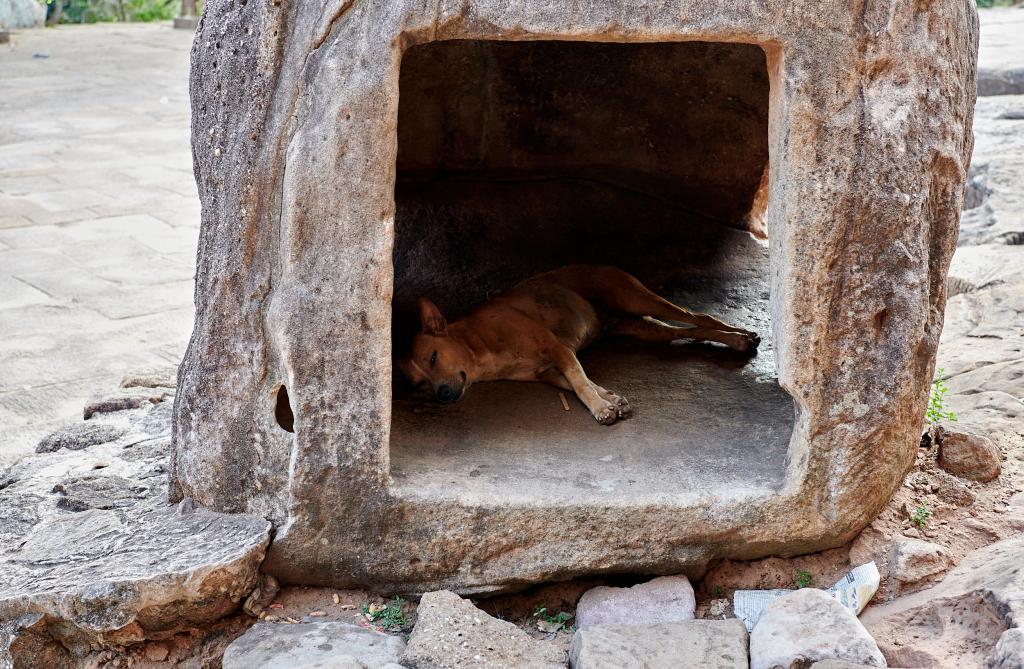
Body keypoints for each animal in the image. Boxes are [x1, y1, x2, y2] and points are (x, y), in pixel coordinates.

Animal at [399, 264, 761, 426]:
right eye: (419, 384)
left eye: (434, 357)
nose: (443, 395)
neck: (479, 347)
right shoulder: (546, 371)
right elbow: (577, 383)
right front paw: (611, 399)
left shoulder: (558, 348)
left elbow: (580, 381)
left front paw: (600, 407)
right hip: (645, 328)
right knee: (692, 330)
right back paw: (738, 339)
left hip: (639, 299)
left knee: (698, 315)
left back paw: (741, 335)